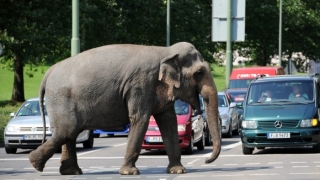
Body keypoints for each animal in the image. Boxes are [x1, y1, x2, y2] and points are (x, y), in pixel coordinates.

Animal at [28, 41, 220, 174]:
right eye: (199, 73)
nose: (206, 161)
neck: (165, 51)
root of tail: (48, 73)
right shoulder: (141, 84)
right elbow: (140, 119)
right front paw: (130, 172)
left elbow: (169, 121)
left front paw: (178, 171)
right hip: (62, 100)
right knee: (66, 131)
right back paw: (34, 163)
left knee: (70, 134)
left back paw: (71, 172)